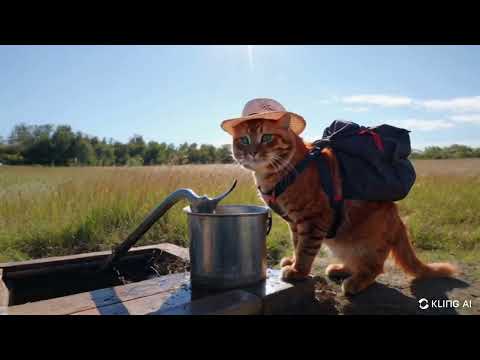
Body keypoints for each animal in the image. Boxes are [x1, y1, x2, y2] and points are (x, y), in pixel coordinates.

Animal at [231, 115, 456, 296]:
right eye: (244, 140)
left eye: (267, 138)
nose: (252, 152)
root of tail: (398, 220)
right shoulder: (295, 222)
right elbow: (297, 244)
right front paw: (293, 261)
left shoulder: (313, 218)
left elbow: (305, 249)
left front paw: (298, 270)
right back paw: (340, 269)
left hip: (364, 243)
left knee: (374, 268)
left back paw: (354, 283)